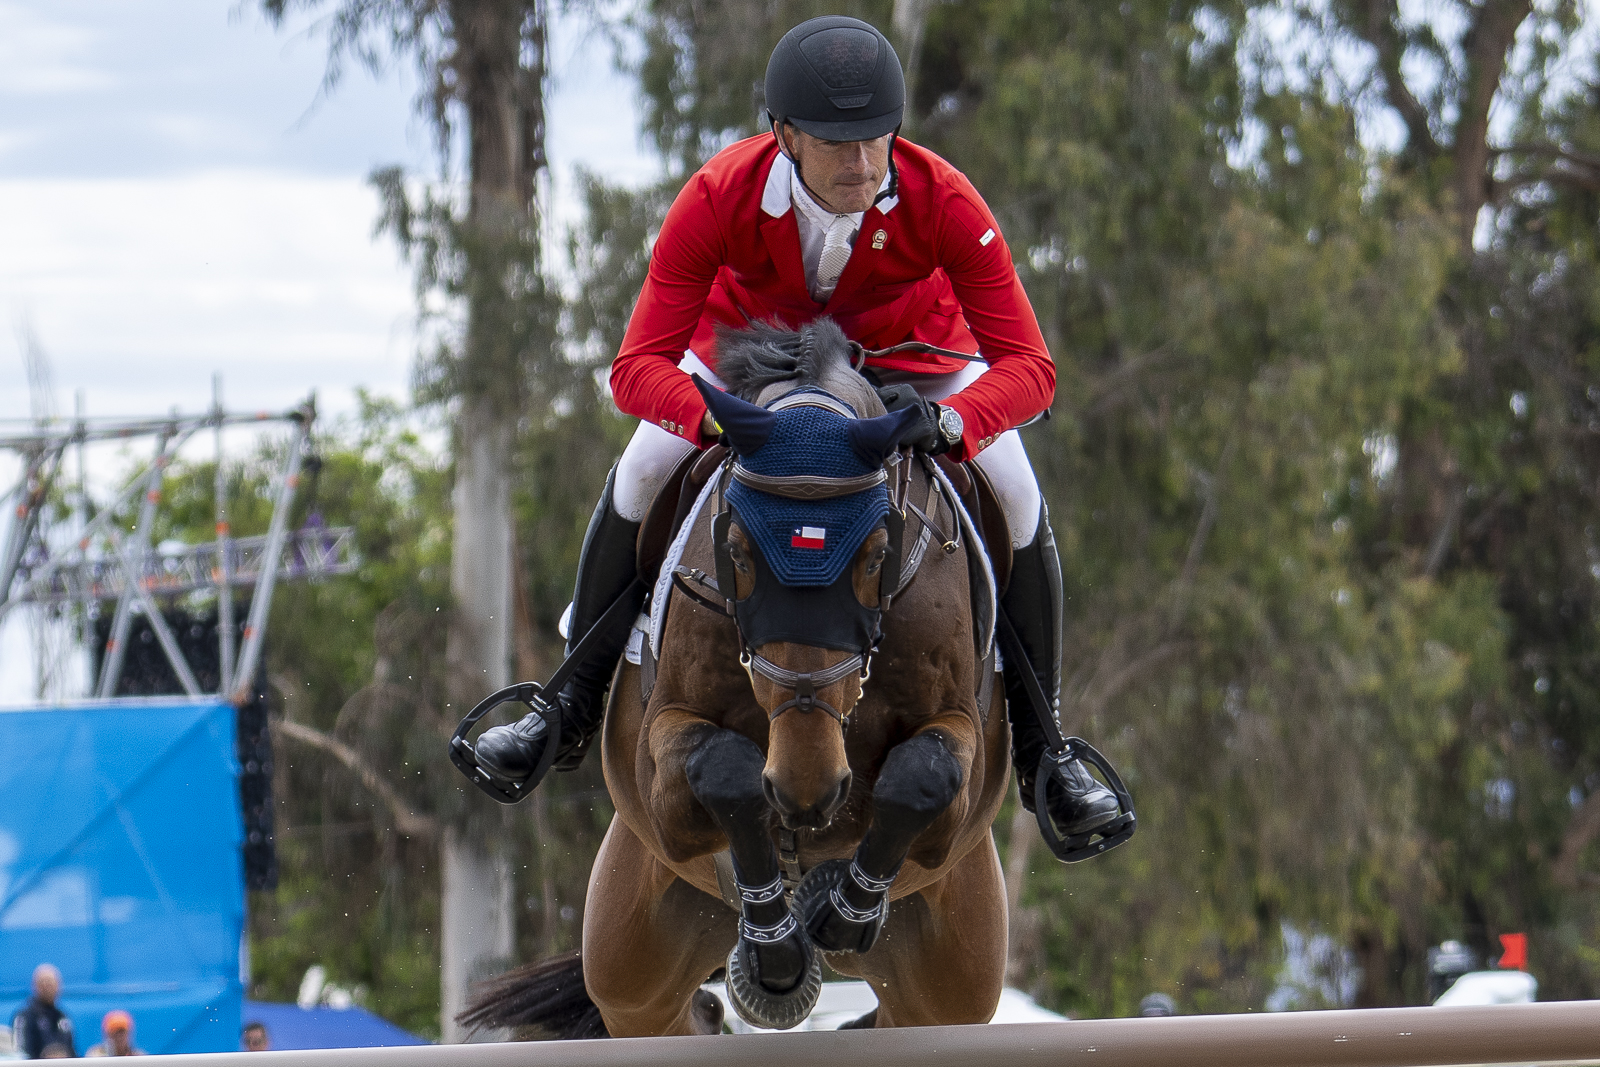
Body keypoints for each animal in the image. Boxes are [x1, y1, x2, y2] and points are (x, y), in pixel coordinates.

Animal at [464, 316, 1011, 1036]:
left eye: (877, 555)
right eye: (736, 553)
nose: (806, 788)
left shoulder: (960, 749)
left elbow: (925, 773)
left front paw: (840, 908)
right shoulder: (661, 764)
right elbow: (724, 769)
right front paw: (777, 941)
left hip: (946, 991)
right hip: (633, 968)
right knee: (674, 1012)